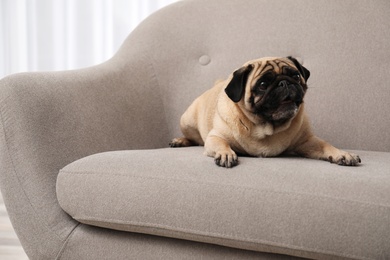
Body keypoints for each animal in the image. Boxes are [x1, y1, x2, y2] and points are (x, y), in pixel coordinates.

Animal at [169, 55, 362, 168]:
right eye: (262, 85)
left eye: (295, 75)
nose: (284, 83)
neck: (266, 127)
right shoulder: (215, 137)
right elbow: (220, 143)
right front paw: (226, 154)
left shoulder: (307, 141)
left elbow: (325, 145)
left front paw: (342, 154)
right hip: (186, 122)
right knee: (195, 138)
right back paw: (179, 140)